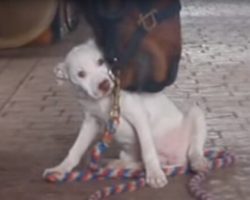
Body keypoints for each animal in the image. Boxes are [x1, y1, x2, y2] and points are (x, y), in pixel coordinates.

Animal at [44, 39, 208, 188]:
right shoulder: (91, 122)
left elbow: (148, 149)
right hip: (128, 153)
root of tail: (177, 159)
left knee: (194, 149)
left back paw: (197, 162)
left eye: (100, 61)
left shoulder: (139, 116)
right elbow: (76, 149)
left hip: (196, 113)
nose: (104, 85)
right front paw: (60, 169)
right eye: (81, 74)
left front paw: (154, 174)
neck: (103, 100)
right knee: (135, 163)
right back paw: (113, 164)